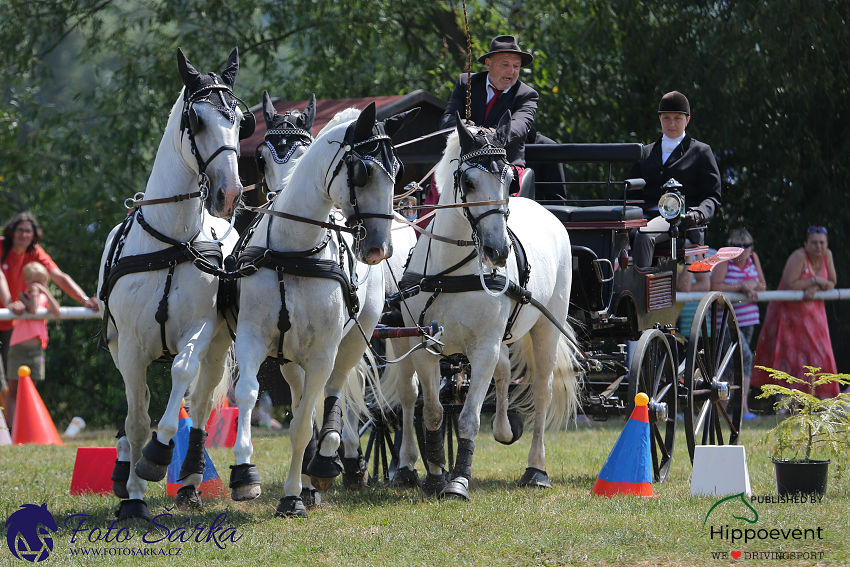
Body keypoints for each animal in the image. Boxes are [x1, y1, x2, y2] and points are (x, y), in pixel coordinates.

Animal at [98, 47, 248, 520]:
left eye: (240, 120)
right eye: (195, 120)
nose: (229, 194)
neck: (171, 241)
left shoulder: (199, 331)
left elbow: (181, 384)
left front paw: (158, 455)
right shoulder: (128, 347)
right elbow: (136, 415)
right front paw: (132, 496)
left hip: (218, 345)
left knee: (198, 404)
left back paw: (191, 484)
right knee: (138, 404)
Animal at [230, 102, 420, 520]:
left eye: (397, 170)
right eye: (362, 171)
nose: (379, 248)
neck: (293, 251)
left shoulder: (322, 352)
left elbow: (304, 424)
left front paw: (292, 496)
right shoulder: (254, 338)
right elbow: (249, 395)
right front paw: (244, 474)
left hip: (353, 337)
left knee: (335, 390)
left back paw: (328, 461)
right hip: (290, 354)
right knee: (310, 397)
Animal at [384, 113, 584, 500]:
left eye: (509, 178)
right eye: (469, 180)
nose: (498, 251)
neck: (451, 271)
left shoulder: (483, 348)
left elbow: (468, 418)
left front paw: (458, 481)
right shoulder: (425, 345)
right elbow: (432, 412)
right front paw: (435, 475)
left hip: (546, 327)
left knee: (542, 389)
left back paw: (536, 469)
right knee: (500, 373)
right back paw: (503, 430)